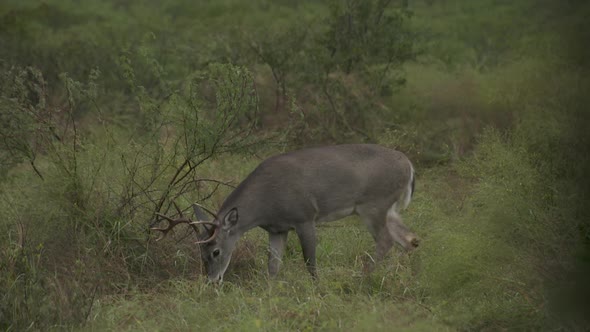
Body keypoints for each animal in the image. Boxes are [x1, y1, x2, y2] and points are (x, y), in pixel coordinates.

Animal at [153, 144, 420, 282]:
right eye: (201, 252)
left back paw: (361, 278)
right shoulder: (277, 229)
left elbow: (310, 262)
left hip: (373, 204)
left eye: (216, 251)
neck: (264, 204)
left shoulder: (304, 216)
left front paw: (317, 290)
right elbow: (272, 267)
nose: (212, 280)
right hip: (388, 209)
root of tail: (409, 165)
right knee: (410, 239)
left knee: (386, 240)